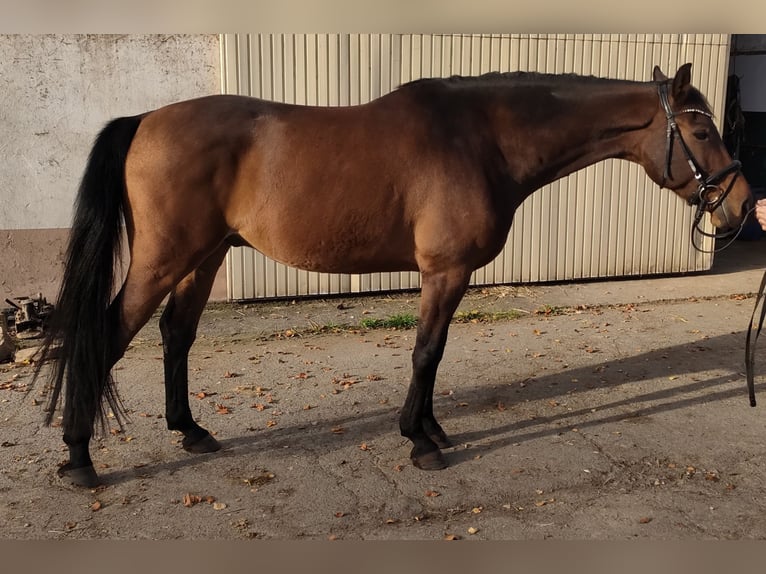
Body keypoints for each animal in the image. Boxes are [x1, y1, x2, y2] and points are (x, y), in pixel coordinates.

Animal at [37, 63, 756, 488]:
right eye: (700, 128)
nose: (742, 204)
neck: (481, 139)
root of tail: (145, 121)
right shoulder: (445, 271)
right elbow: (426, 352)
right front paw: (420, 442)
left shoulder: (448, 276)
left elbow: (434, 356)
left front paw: (431, 429)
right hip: (166, 257)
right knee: (107, 333)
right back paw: (79, 458)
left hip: (205, 255)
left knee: (176, 334)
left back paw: (190, 432)